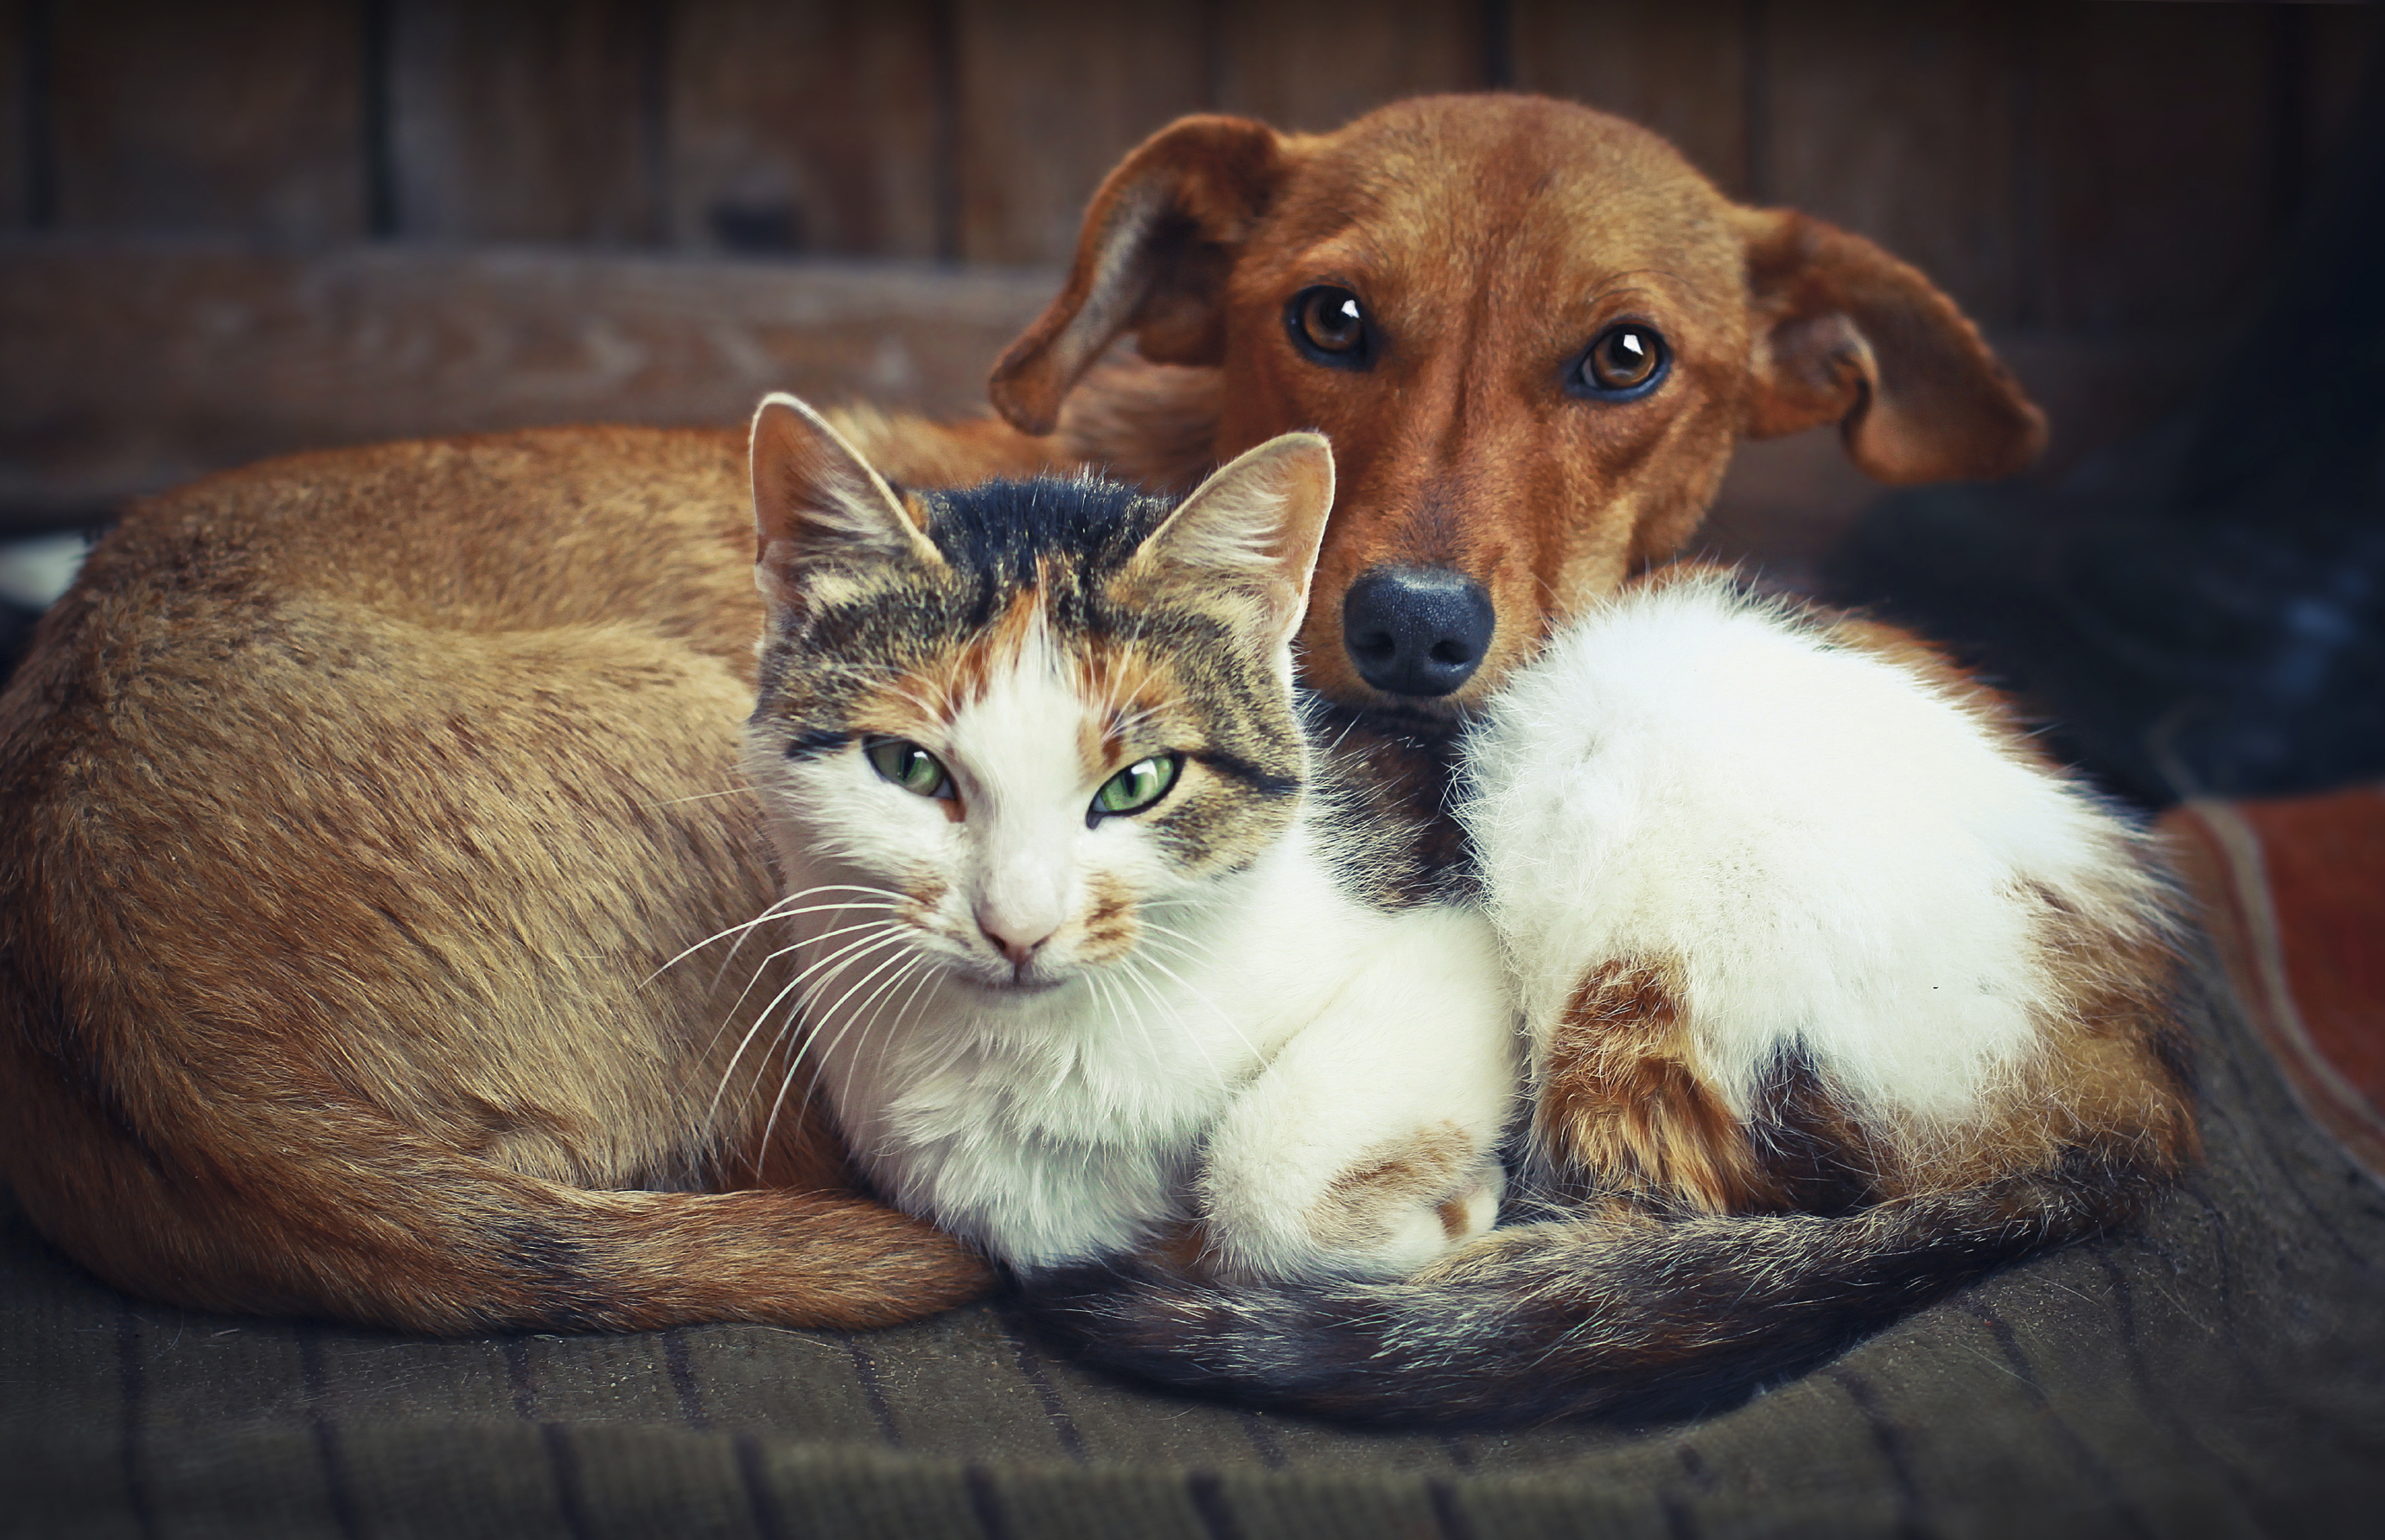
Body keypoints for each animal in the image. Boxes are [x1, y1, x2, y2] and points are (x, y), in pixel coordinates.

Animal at [734, 393, 1516, 1287]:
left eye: (1139, 782)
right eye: (909, 766)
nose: (1017, 928)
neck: (1046, 1053)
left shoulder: (1458, 927)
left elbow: (1262, 1177)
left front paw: (1452, 1210)